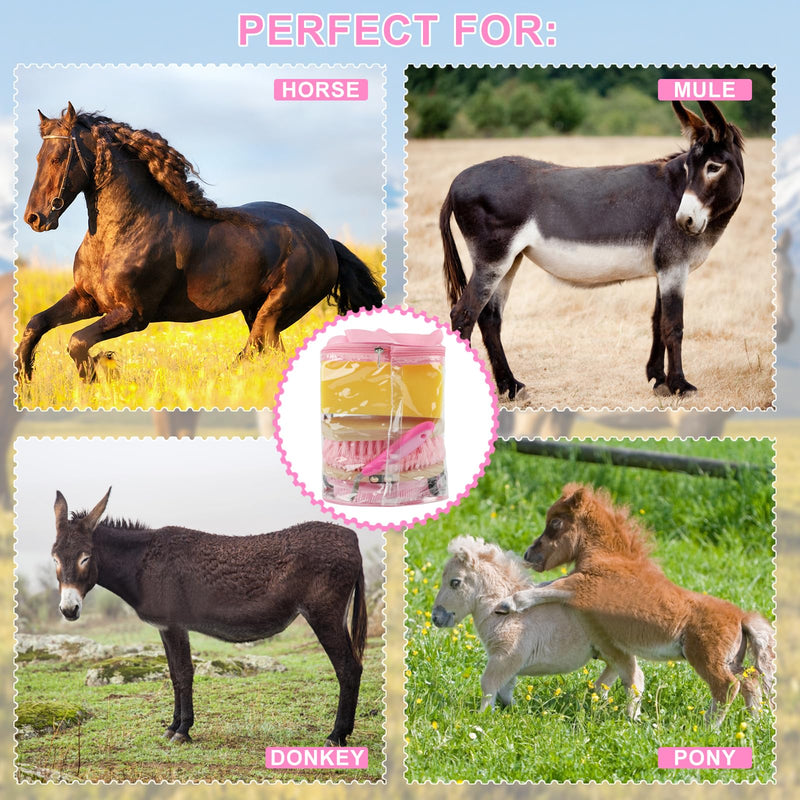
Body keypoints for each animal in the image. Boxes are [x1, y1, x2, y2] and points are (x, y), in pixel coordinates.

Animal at [17, 103, 383, 382]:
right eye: (37, 158)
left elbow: (77, 341)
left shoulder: (133, 314)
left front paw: (101, 370)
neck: (122, 232)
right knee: (270, 352)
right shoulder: (88, 299)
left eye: (58, 157)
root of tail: (325, 240)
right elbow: (36, 324)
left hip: (276, 309)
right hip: (257, 310)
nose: (34, 218)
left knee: (254, 349)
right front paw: (26, 378)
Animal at [50, 488, 368, 746]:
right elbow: (173, 674)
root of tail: (352, 539)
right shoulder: (164, 628)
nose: (68, 610)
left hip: (324, 615)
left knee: (348, 669)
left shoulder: (175, 624)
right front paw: (172, 727)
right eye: (54, 557)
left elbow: (184, 673)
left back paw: (336, 736)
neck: (141, 562)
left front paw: (183, 731)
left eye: (85, 557)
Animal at [431, 535, 617, 712]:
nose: (436, 618)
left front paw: (483, 715)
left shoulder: (507, 656)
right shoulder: (505, 660)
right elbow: (505, 690)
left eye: (455, 582)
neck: (508, 616)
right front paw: (515, 709)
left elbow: (488, 684)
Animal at [440, 100, 745, 401]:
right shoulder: (674, 268)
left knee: (490, 318)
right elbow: (673, 325)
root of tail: (455, 182)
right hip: (492, 260)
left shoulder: (665, 268)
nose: (684, 221)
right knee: (463, 315)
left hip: (509, 260)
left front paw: (659, 380)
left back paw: (511, 386)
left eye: (714, 167)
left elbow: (657, 321)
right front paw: (680, 385)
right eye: (689, 170)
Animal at [495, 484, 775, 725]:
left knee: (727, 686)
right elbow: (545, 584)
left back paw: (710, 726)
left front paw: (505, 604)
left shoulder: (581, 586)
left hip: (705, 658)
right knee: (750, 680)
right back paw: (754, 721)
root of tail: (741, 617)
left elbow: (544, 589)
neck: (611, 559)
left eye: (555, 522)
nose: (529, 555)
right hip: (731, 660)